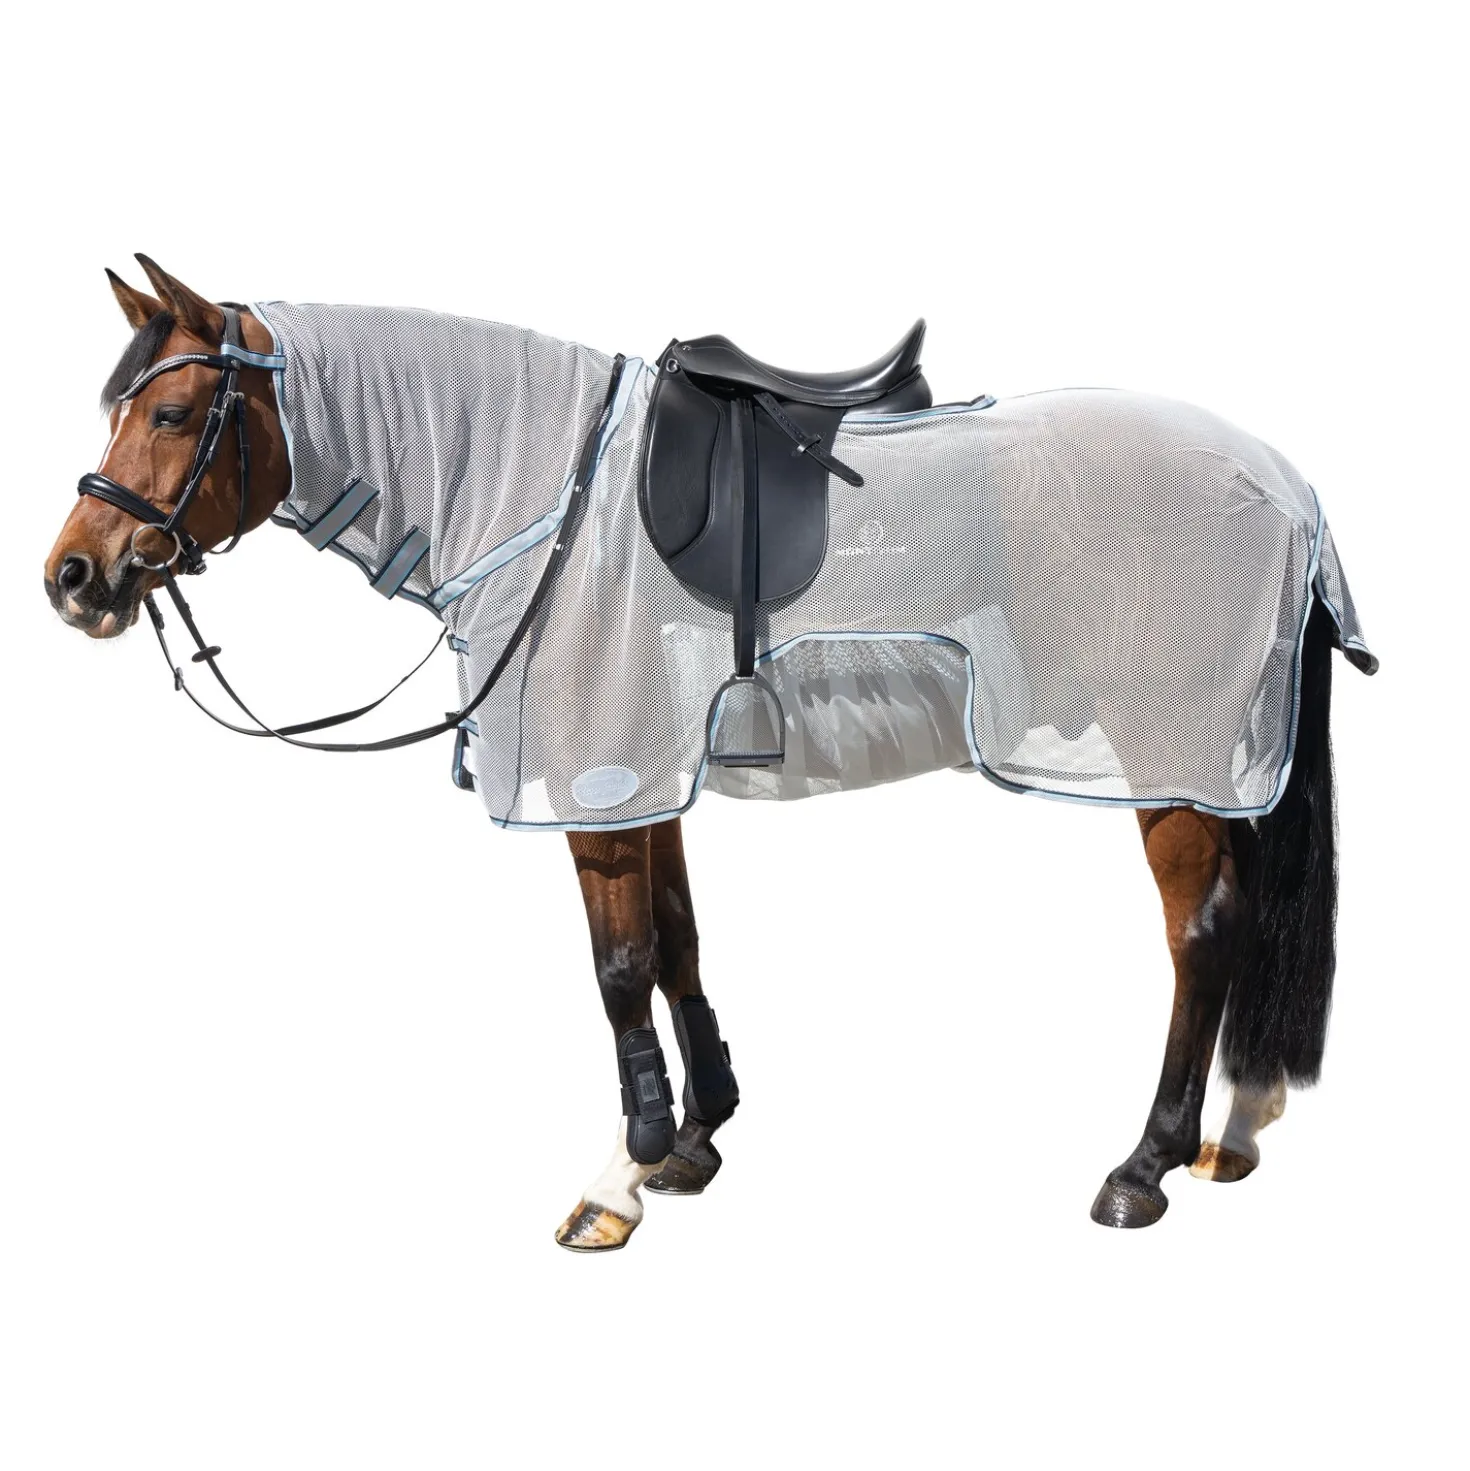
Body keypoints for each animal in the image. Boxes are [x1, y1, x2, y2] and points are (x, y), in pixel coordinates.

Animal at [44, 256, 1376, 1251]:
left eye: (173, 412)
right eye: (119, 406)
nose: (74, 577)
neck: (545, 490)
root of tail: (1288, 484)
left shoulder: (594, 777)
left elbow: (620, 965)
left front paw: (618, 1179)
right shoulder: (648, 772)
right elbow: (679, 940)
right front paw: (695, 1139)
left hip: (1176, 762)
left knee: (1202, 936)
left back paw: (1144, 1164)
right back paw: (1236, 1129)